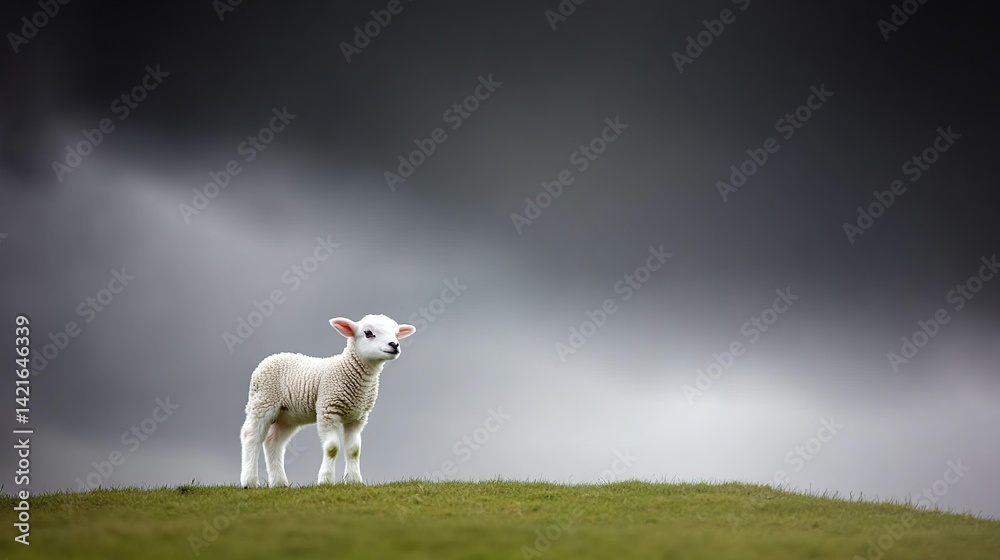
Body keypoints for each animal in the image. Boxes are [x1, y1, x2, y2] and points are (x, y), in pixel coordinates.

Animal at [239, 314, 415, 488]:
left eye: (396, 333)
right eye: (368, 333)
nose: (394, 344)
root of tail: (272, 357)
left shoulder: (357, 417)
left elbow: (354, 449)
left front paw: (354, 481)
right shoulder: (328, 409)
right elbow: (332, 447)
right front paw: (326, 480)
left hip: (287, 416)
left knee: (273, 442)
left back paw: (279, 483)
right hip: (263, 401)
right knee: (251, 436)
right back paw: (249, 481)